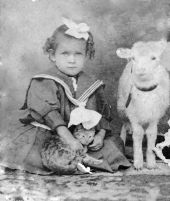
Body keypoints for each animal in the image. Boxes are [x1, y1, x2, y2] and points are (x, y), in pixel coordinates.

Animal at [116, 39, 169, 170]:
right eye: (134, 58)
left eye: (153, 58)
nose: (141, 69)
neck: (145, 92)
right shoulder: (133, 115)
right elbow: (138, 134)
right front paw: (138, 162)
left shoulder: (154, 117)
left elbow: (151, 134)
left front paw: (151, 163)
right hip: (121, 107)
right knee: (124, 125)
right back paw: (122, 141)